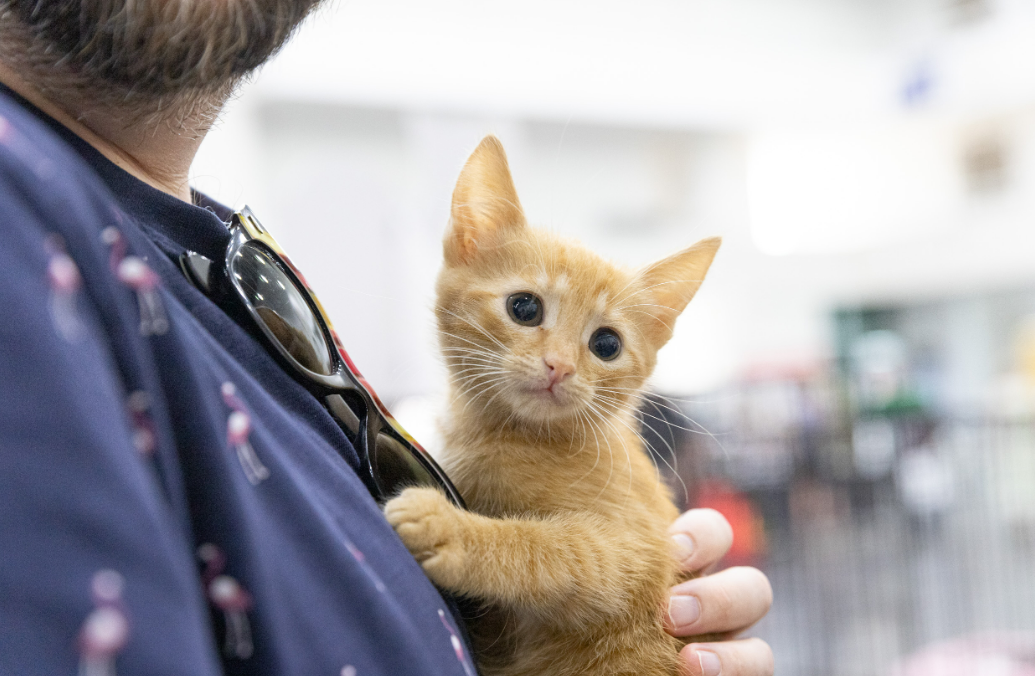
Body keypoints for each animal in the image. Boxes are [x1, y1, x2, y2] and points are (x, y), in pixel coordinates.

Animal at [387, 136, 720, 674]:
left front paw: (451, 530)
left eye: (606, 344)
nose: (559, 366)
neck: (503, 435)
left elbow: (550, 549)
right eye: (524, 307)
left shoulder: (636, 555)